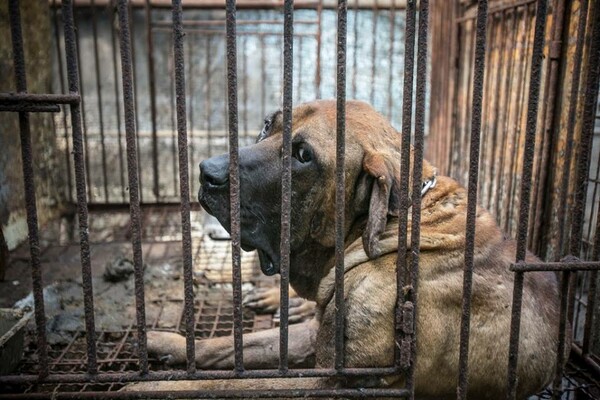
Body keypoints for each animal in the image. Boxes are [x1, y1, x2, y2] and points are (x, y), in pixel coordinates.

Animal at [135, 99, 564, 396]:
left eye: (303, 156)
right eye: (267, 125)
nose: (207, 173)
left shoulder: (336, 381)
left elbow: (230, 385)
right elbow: (232, 348)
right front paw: (167, 344)